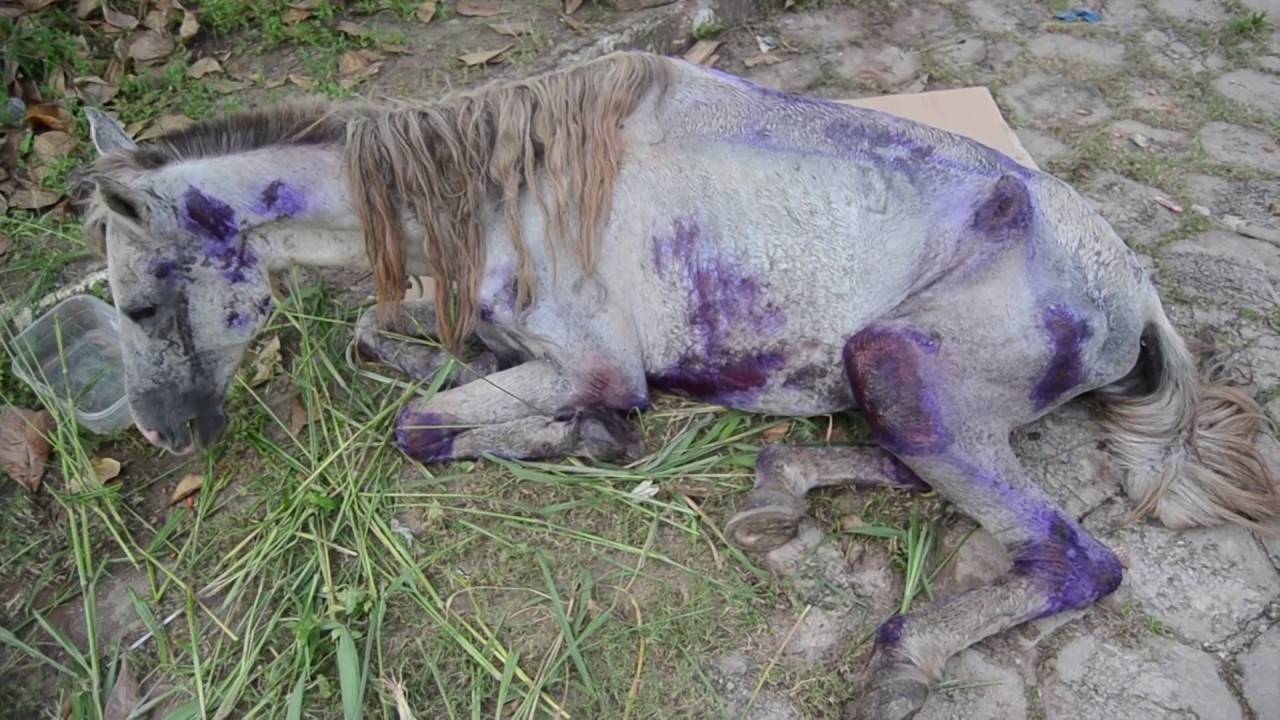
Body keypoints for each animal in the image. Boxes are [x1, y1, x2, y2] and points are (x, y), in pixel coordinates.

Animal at [79, 51, 1278, 719]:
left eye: (136, 305)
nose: (166, 438)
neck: (504, 192)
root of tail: (1133, 284)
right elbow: (388, 341)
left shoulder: (594, 359)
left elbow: (422, 425)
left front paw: (583, 436)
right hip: (897, 386)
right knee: (901, 465)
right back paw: (778, 485)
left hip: (901, 371)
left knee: (1079, 559)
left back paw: (902, 659)